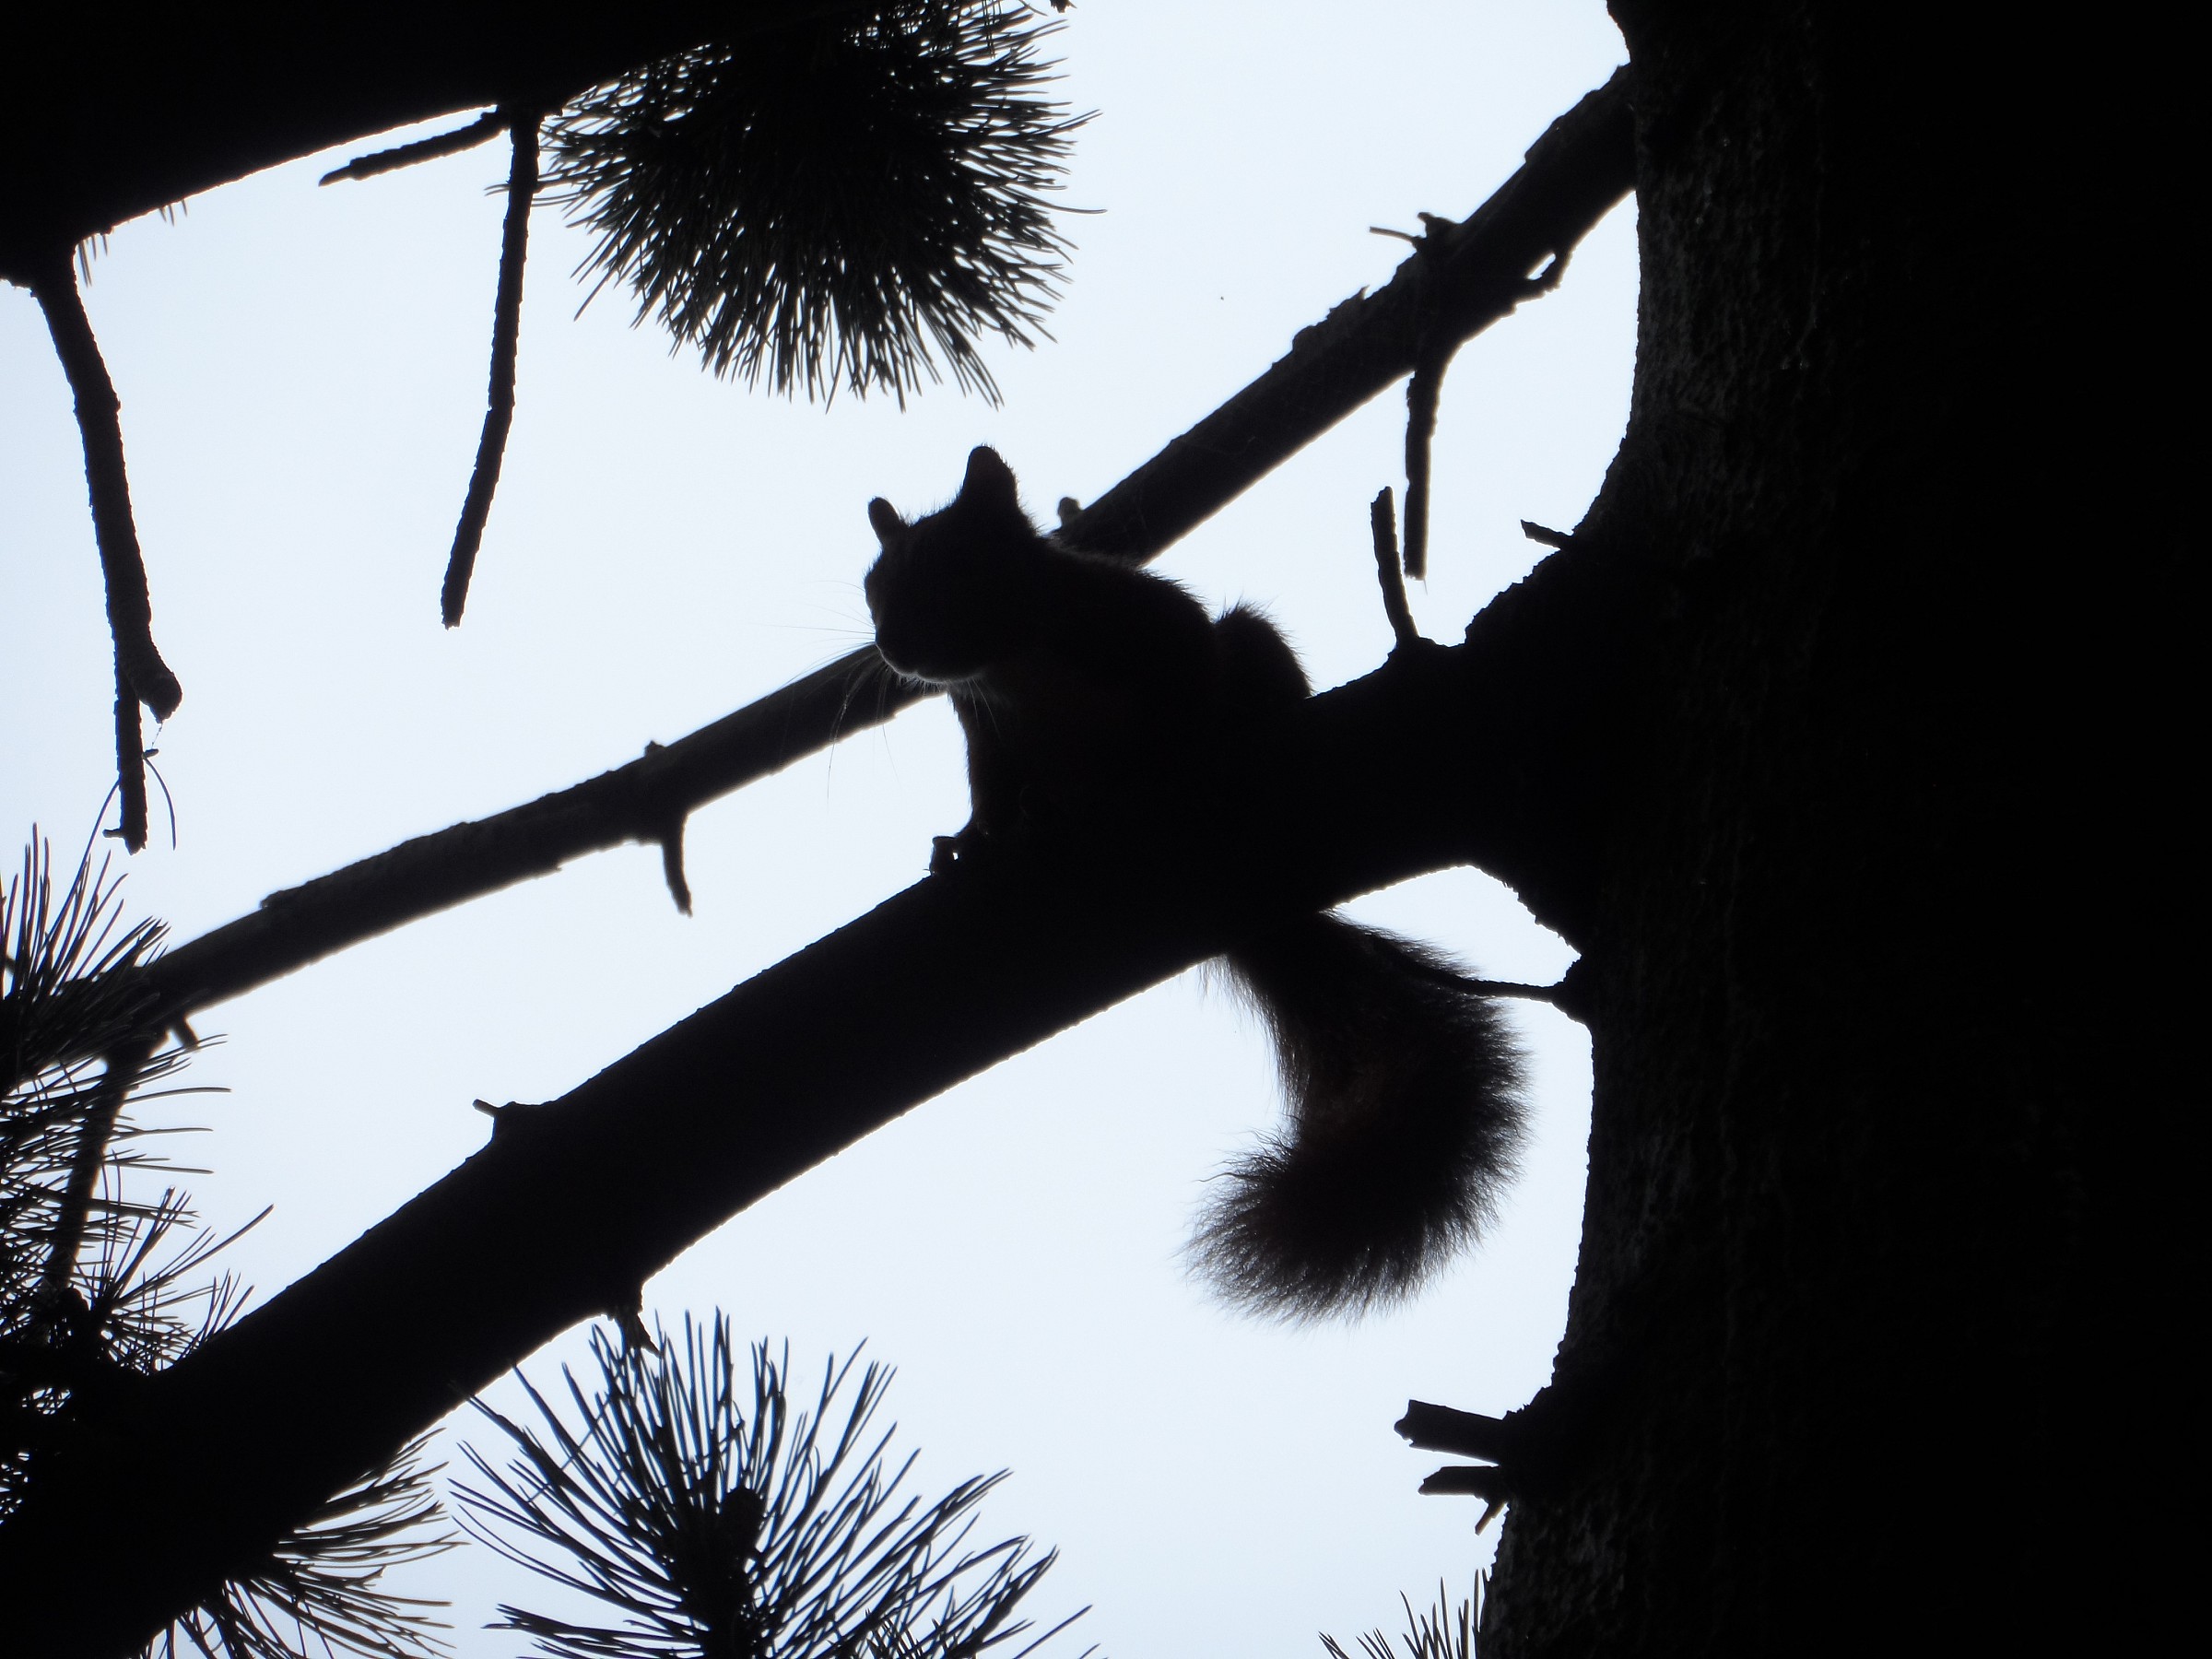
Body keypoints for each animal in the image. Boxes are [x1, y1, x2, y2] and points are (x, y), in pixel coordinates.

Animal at [863, 446, 1526, 1318]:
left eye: (954, 561)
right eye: (873, 585)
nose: (893, 646)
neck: (1017, 666)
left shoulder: (1148, 626)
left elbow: (1181, 685)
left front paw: (1171, 758)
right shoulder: (989, 737)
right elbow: (991, 799)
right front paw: (971, 845)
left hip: (1249, 644)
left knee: (1242, 651)